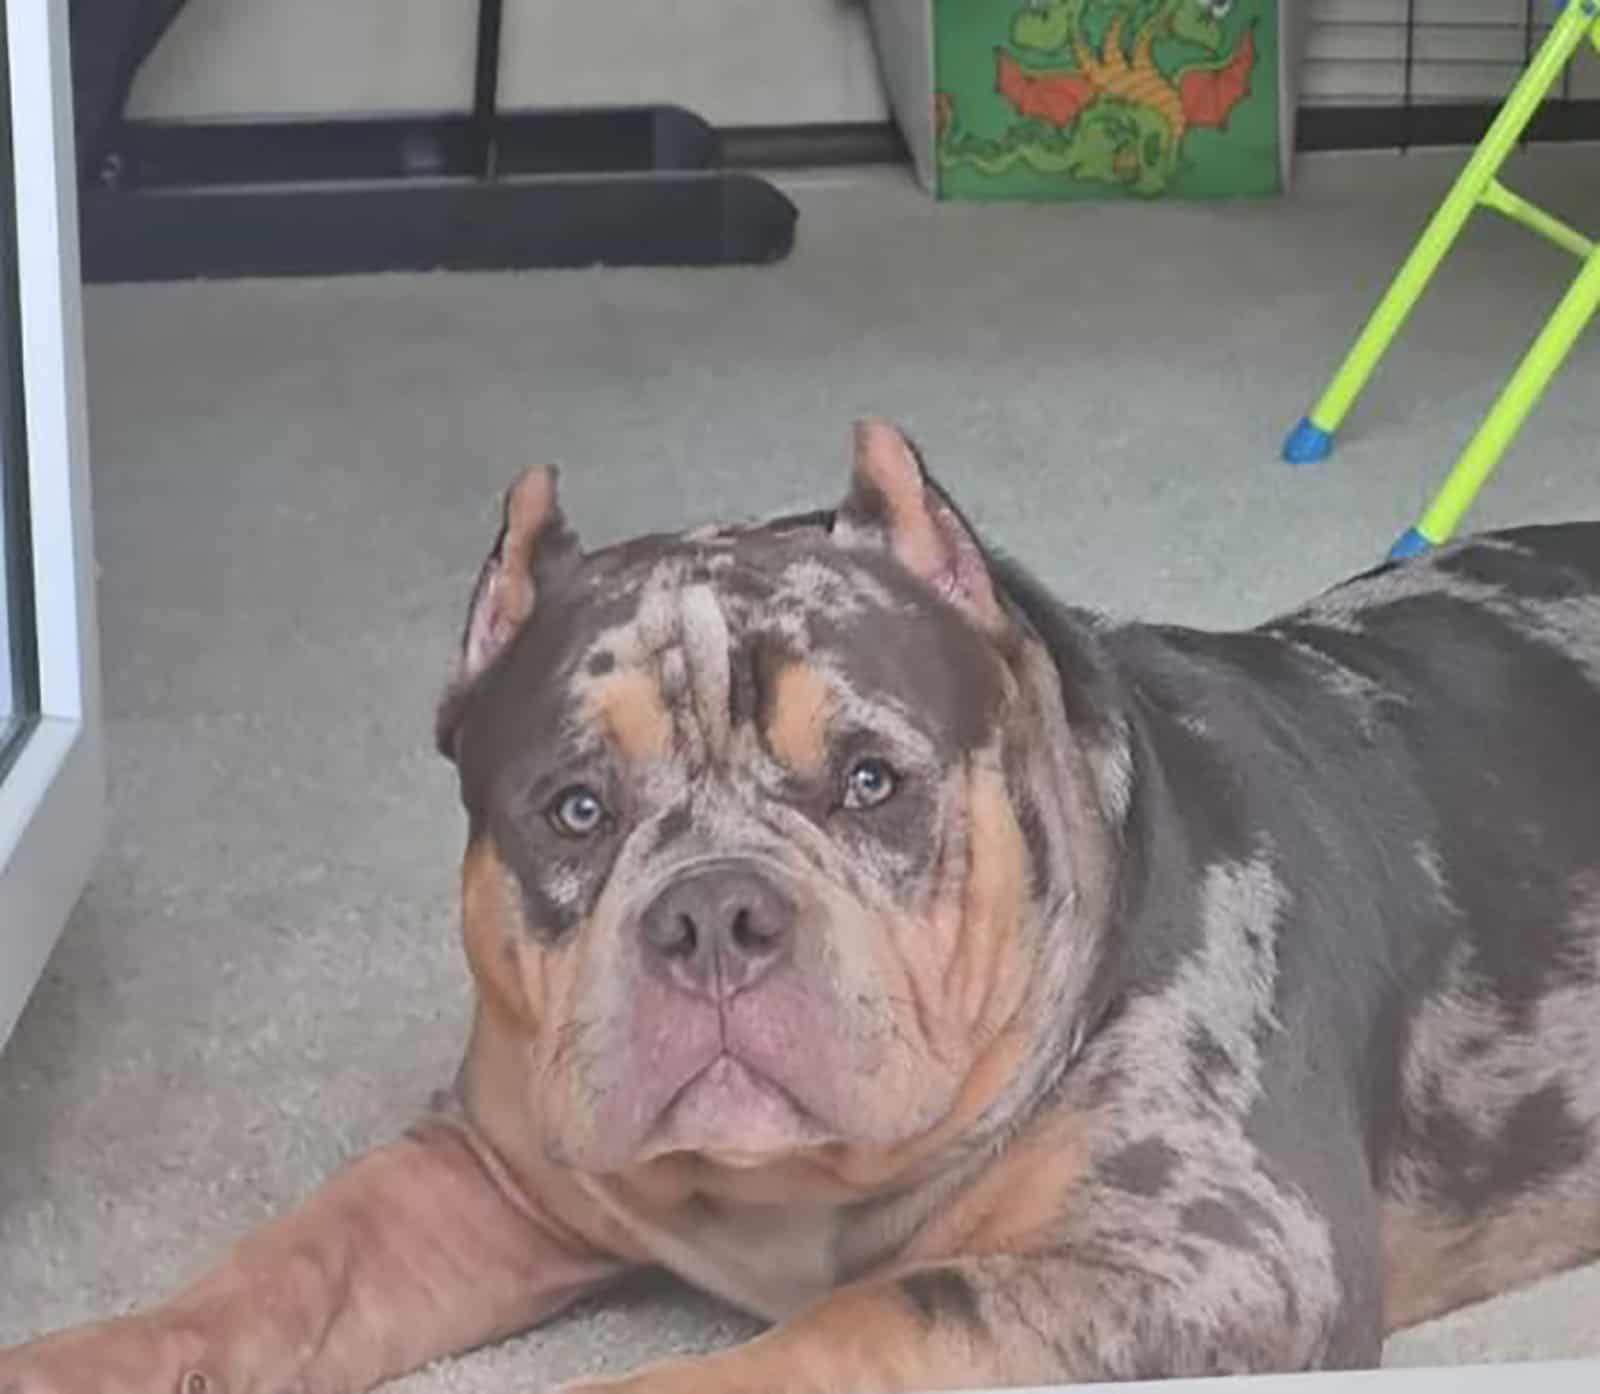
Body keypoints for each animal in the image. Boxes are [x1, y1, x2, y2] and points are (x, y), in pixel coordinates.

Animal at [3, 416, 1600, 1394]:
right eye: (571, 808)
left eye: (872, 781)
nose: (715, 912)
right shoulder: (478, 1170)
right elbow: (287, 1262)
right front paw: (88, 1351)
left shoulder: (1220, 1248)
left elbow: (876, 1309)